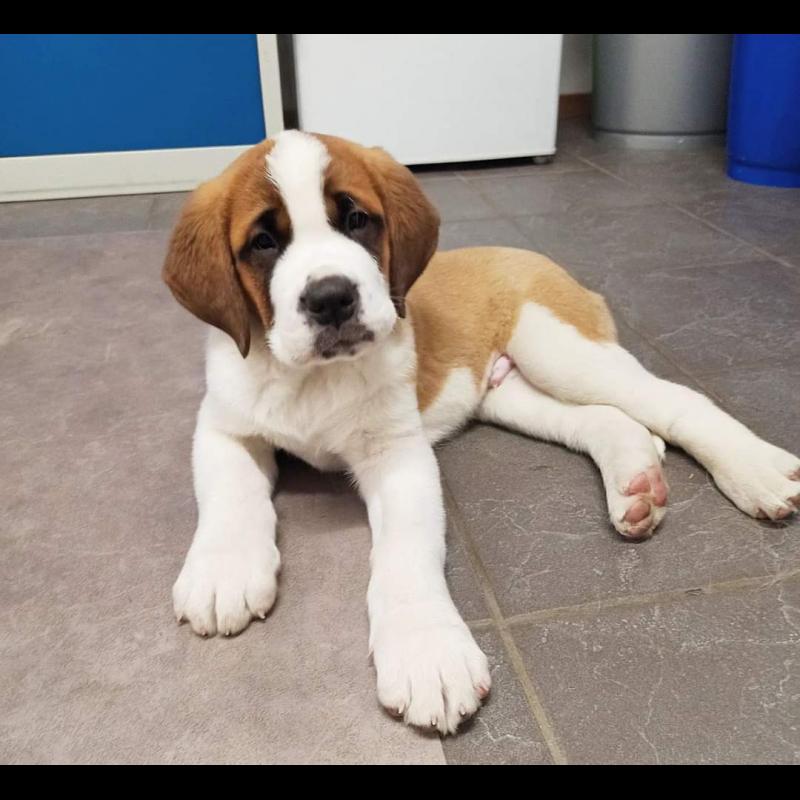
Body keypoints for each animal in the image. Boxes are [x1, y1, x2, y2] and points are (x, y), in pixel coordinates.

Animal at [163, 130, 800, 734]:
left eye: (356, 219)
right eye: (263, 243)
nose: (331, 297)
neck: (313, 379)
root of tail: (539, 259)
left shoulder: (400, 457)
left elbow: (405, 553)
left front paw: (426, 654)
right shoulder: (223, 427)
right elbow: (231, 497)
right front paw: (223, 571)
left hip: (559, 349)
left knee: (674, 401)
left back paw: (756, 472)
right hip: (511, 392)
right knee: (602, 418)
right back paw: (637, 483)